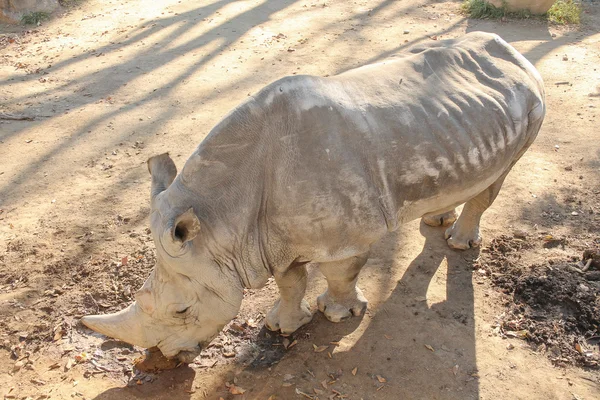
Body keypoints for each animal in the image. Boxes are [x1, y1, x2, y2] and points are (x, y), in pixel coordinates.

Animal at [82, 32, 548, 362]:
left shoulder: (346, 239)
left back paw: (459, 242)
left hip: (535, 105)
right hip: (459, 119)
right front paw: (283, 326)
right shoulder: (270, 236)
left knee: (499, 178)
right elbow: (291, 280)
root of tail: (515, 50)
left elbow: (340, 274)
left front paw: (338, 314)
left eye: (180, 311)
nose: (163, 356)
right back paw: (435, 221)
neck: (221, 218)